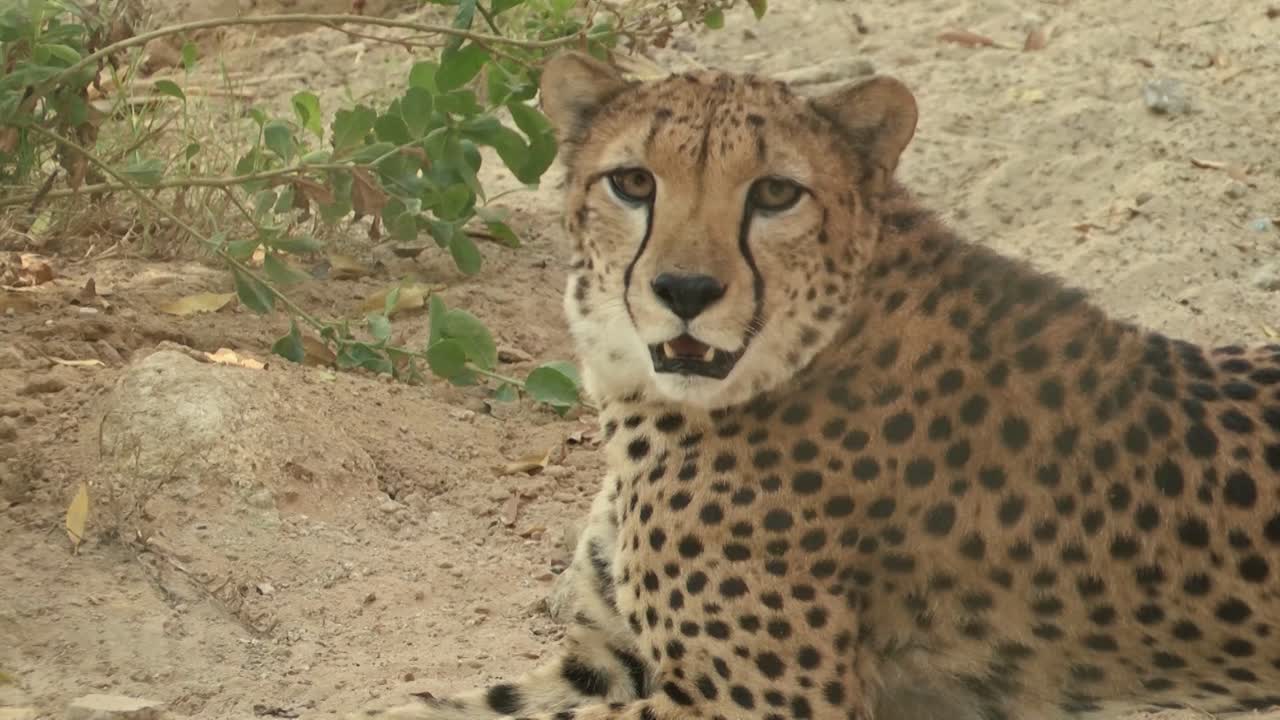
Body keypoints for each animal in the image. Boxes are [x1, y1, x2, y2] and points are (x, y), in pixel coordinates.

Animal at [351, 51, 1280, 720]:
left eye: (775, 193)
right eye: (633, 182)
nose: (685, 291)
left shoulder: (758, 705)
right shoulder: (603, 662)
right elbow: (430, 707)